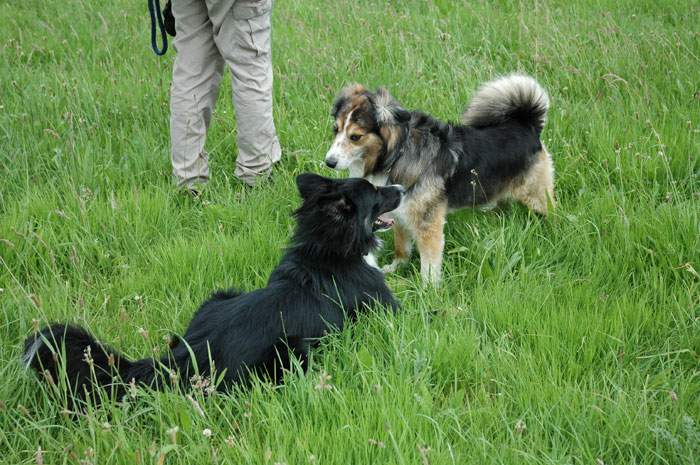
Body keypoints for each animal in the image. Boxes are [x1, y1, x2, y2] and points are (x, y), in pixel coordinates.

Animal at [21, 172, 402, 400]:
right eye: (376, 193)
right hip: (291, 351)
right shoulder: (386, 307)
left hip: (218, 296)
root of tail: (182, 358)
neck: (327, 248)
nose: (400, 188)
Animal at [326, 75, 556, 284]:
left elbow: (429, 264)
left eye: (355, 137)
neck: (398, 153)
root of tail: (527, 126)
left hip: (537, 194)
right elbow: (402, 247)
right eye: (335, 129)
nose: (329, 162)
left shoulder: (428, 224)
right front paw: (396, 267)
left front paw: (427, 290)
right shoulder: (400, 214)